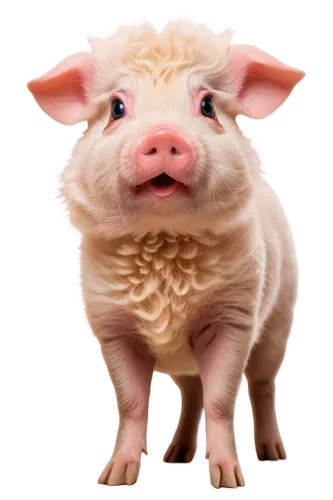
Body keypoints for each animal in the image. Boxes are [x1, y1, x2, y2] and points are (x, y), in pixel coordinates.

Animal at [27, 16, 304, 492]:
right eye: (117, 108)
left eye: (208, 105)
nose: (162, 135)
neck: (163, 243)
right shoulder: (110, 326)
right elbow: (133, 402)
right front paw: (115, 478)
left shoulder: (234, 318)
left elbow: (221, 399)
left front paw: (227, 482)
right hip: (187, 362)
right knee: (191, 393)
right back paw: (176, 456)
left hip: (277, 323)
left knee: (261, 385)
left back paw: (273, 454)